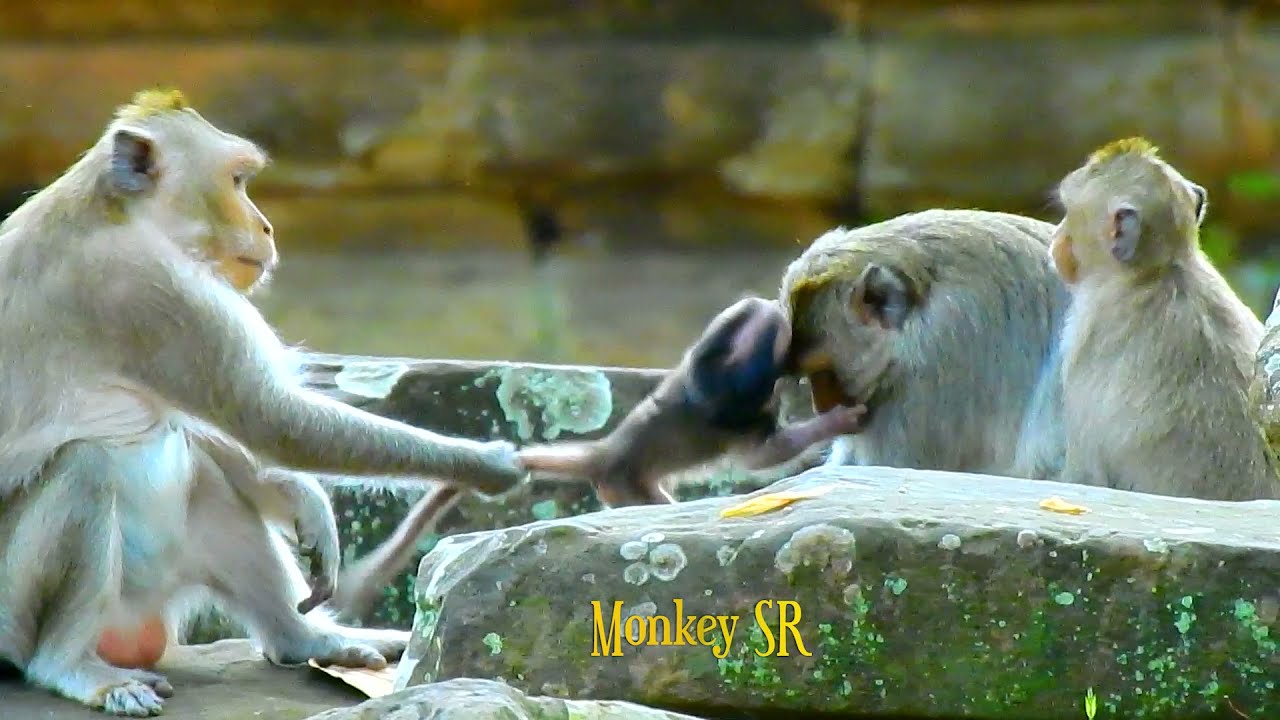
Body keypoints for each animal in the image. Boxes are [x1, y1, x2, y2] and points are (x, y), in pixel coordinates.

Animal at [0, 89, 530, 716]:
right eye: (237, 180)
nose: (268, 226)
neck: (112, 212)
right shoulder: (147, 288)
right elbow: (271, 419)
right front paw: (485, 462)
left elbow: (231, 428)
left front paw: (305, 500)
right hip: (11, 608)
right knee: (86, 468)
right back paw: (72, 667)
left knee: (207, 476)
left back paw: (307, 639)